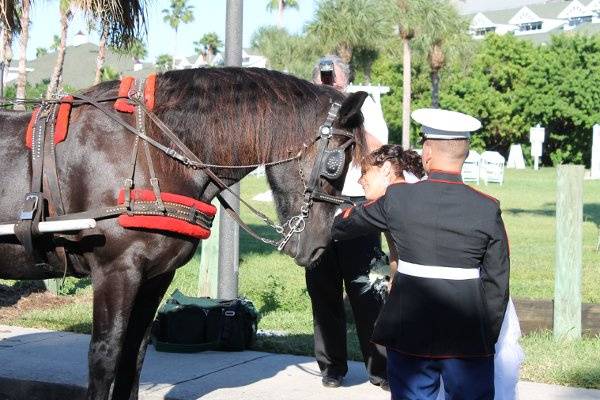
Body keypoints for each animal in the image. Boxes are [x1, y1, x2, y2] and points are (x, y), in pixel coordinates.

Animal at [0, 67, 370, 398]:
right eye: (336, 165)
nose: (320, 246)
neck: (152, 149)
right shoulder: (115, 270)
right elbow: (105, 356)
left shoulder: (155, 276)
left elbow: (133, 355)